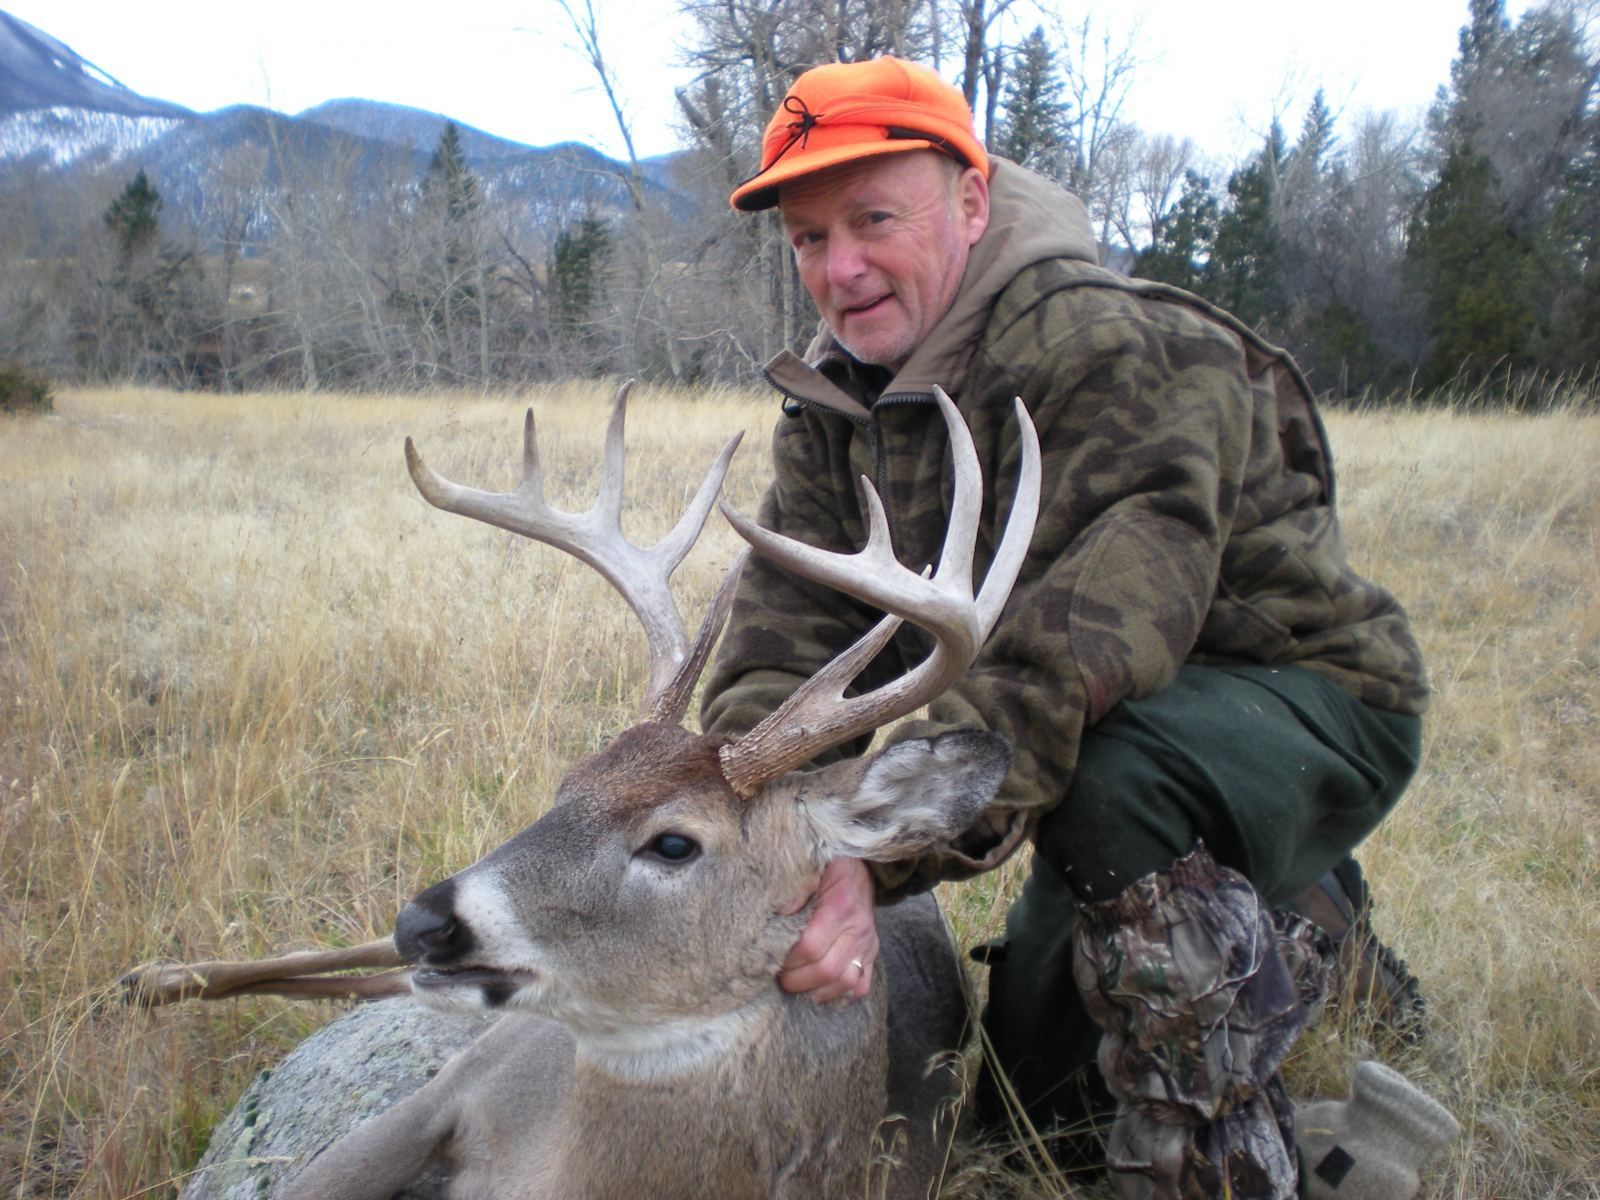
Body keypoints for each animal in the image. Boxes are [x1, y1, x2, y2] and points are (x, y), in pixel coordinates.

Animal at [125, 381, 1041, 1200]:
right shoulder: (453, 1089)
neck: (561, 1175)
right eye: (569, 782)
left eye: (674, 842)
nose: (425, 920)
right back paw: (156, 977)